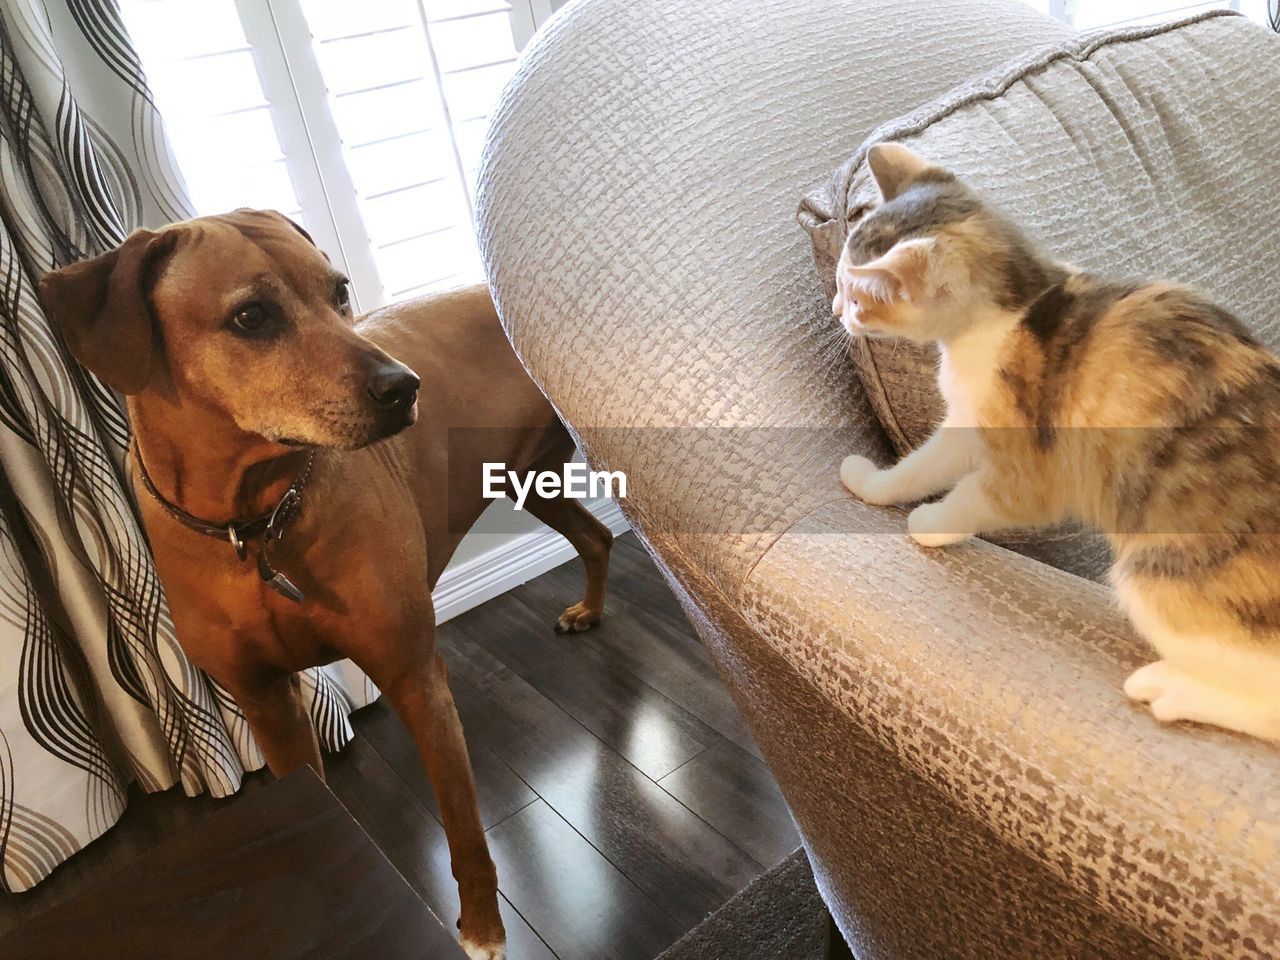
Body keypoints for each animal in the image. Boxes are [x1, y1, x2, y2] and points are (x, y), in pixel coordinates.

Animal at [40, 212, 614, 960]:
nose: (404, 387)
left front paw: (483, 931)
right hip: (528, 476)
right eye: (252, 316)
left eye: (339, 291)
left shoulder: (414, 676)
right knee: (597, 537)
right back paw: (590, 610)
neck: (256, 520)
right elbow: (313, 785)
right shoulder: (267, 704)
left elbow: (464, 832)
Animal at [829, 140, 1280, 742]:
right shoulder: (965, 424)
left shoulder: (1030, 468)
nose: (836, 311)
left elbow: (975, 496)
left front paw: (928, 523)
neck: (1017, 306)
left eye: (857, 297)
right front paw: (873, 484)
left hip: (1159, 574)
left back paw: (1171, 690)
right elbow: (921, 466)